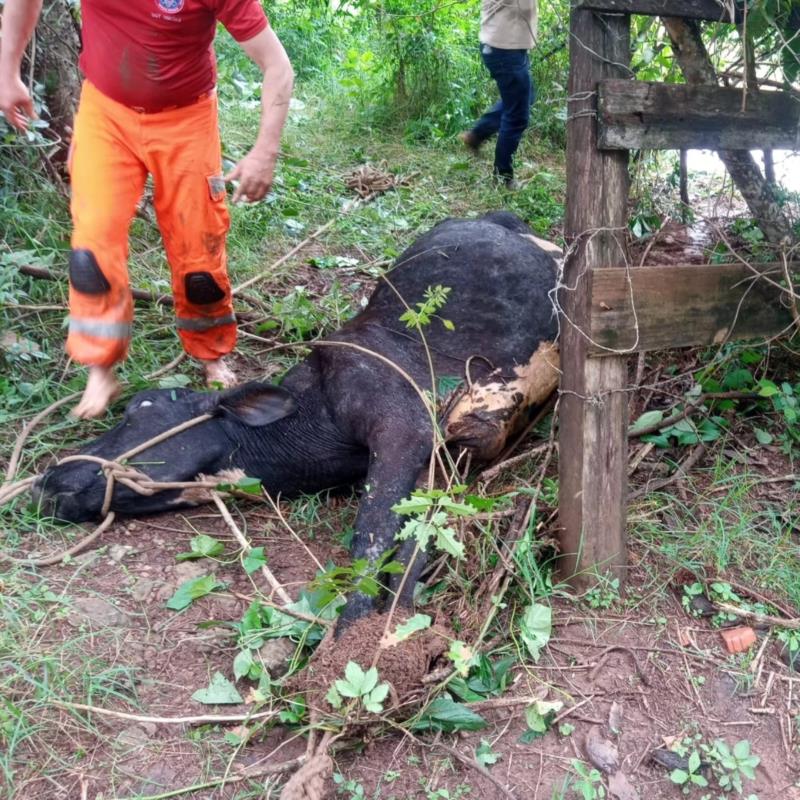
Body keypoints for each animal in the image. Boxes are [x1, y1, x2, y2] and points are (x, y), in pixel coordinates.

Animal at [34, 211, 560, 624]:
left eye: (144, 408)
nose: (48, 479)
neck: (310, 423)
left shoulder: (403, 425)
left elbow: (371, 540)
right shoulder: (443, 454)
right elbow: (414, 534)